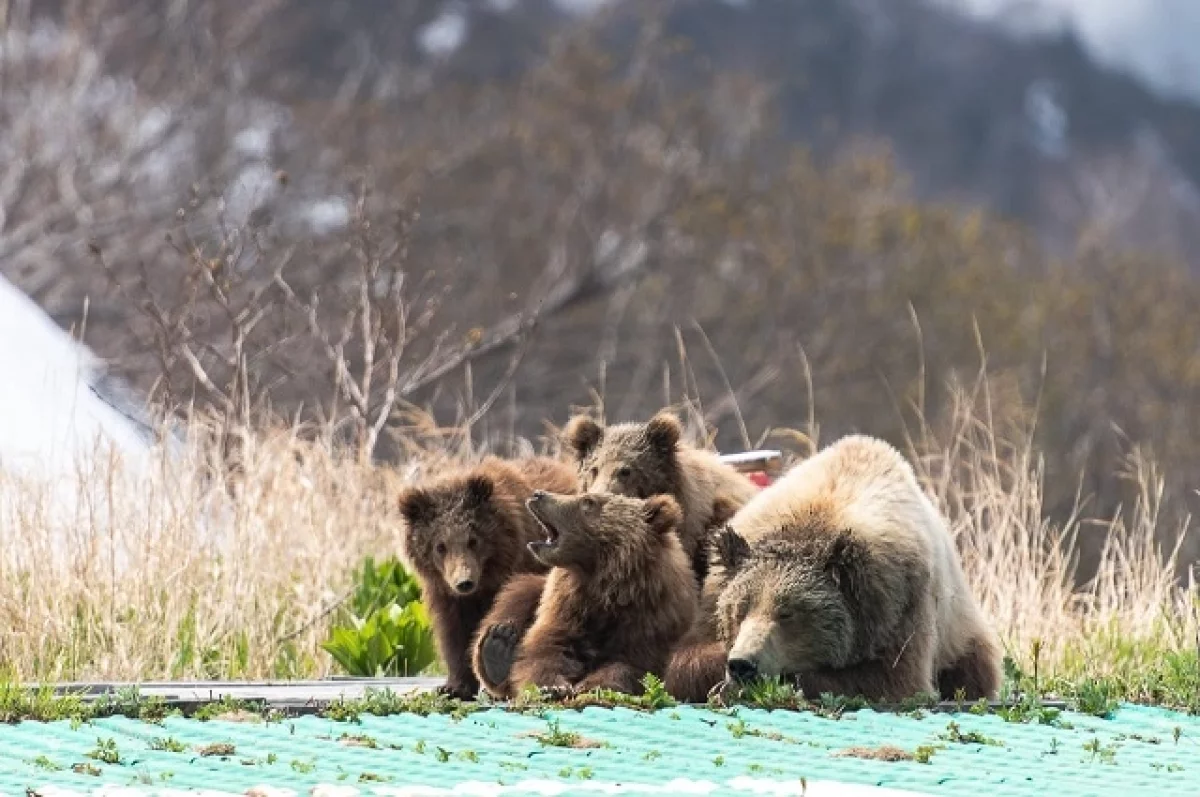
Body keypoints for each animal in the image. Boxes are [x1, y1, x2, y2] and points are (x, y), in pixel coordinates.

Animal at [398, 453, 576, 696]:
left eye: (473, 540)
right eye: (440, 546)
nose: (464, 582)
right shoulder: (445, 592)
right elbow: (454, 633)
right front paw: (455, 686)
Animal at [465, 492, 696, 696]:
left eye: (588, 501)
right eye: (585, 495)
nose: (538, 494)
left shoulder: (654, 617)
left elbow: (633, 664)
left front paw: (593, 685)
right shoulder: (567, 606)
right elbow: (547, 647)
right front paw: (552, 686)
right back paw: (497, 645)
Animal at [667, 436, 1003, 705]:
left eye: (787, 613)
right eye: (740, 608)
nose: (743, 664)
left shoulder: (899, 602)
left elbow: (894, 680)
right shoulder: (715, 589)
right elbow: (685, 662)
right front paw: (722, 681)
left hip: (957, 631)